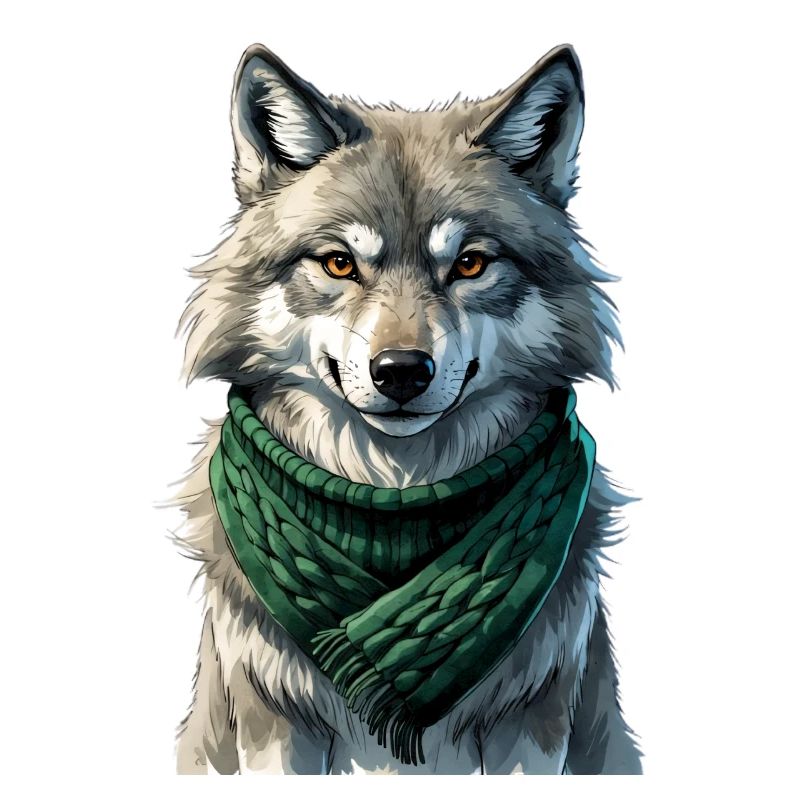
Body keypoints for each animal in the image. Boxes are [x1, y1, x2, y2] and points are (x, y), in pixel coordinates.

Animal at [173, 41, 642, 774]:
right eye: (339, 263)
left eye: (471, 264)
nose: (400, 372)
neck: (395, 498)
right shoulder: (271, 719)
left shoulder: (534, 719)